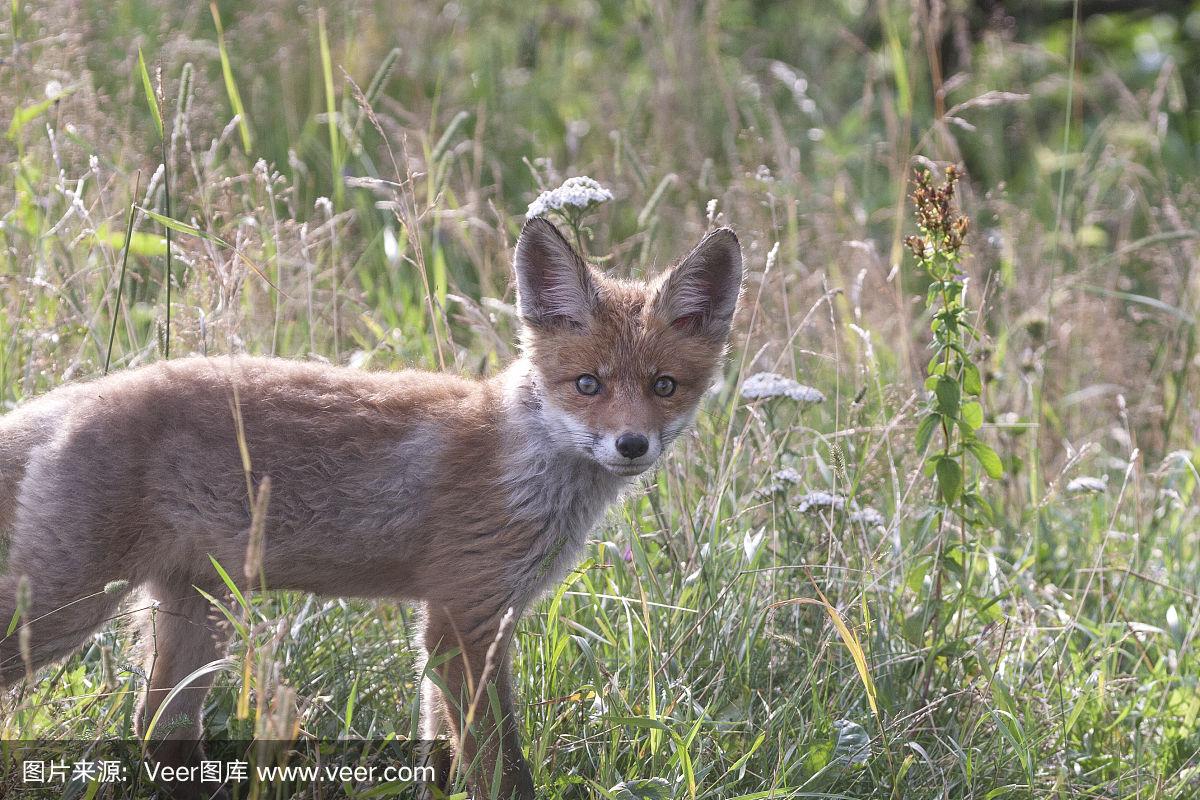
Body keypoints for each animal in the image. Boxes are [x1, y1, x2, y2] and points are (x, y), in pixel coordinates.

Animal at [0, 219, 744, 800]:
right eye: (587, 384)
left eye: (664, 386)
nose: (632, 445)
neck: (525, 462)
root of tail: (77, 395)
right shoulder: (463, 621)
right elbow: (501, 769)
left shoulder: (463, 621)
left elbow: (442, 754)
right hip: (64, 608)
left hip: (194, 618)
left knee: (157, 734)